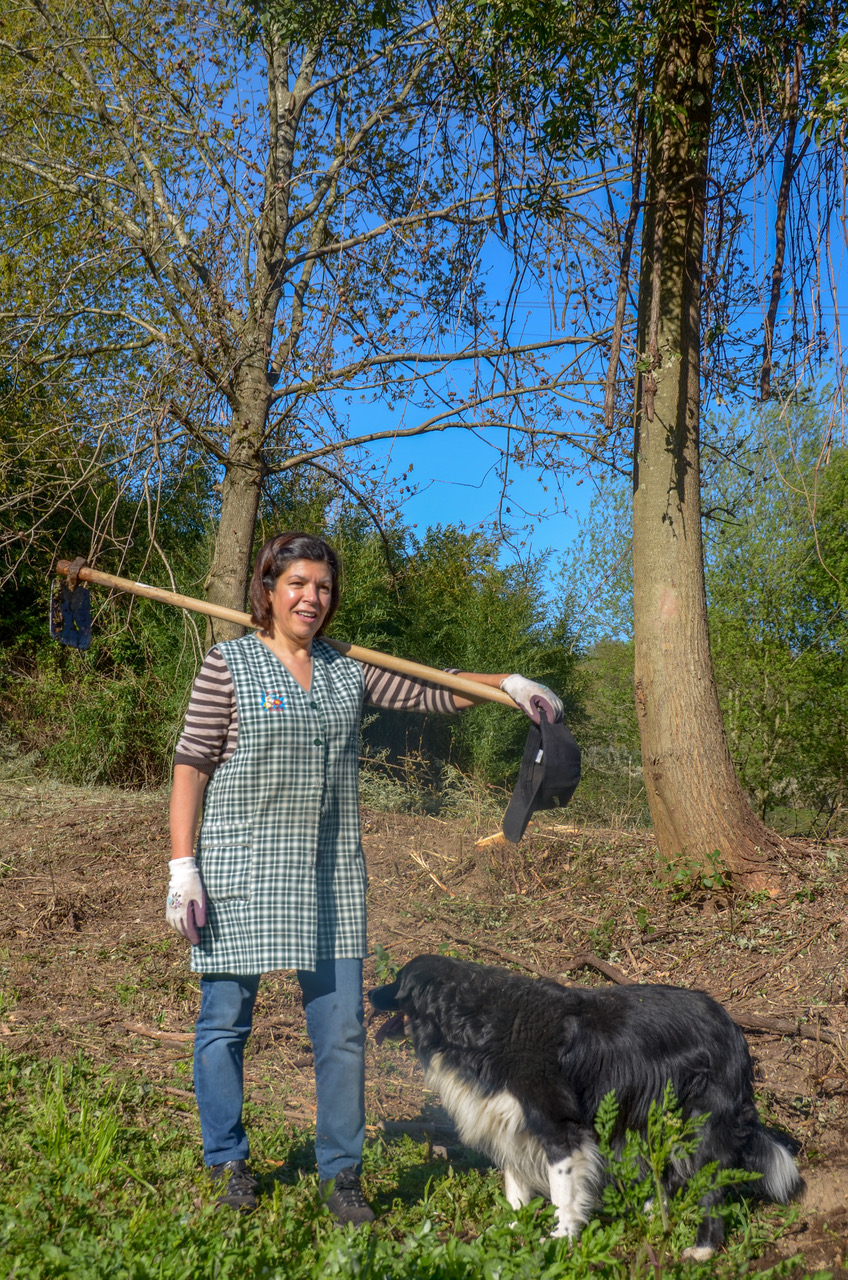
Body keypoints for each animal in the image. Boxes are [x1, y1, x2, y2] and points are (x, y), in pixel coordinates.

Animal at [371, 957, 804, 1254]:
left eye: (396, 980)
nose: (370, 993)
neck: (474, 1024)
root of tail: (732, 1025)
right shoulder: (512, 1125)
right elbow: (515, 1191)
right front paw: (512, 1235)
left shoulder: (560, 1129)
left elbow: (563, 1194)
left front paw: (560, 1240)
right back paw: (653, 1208)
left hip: (700, 1124)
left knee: (710, 1187)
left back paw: (702, 1249)